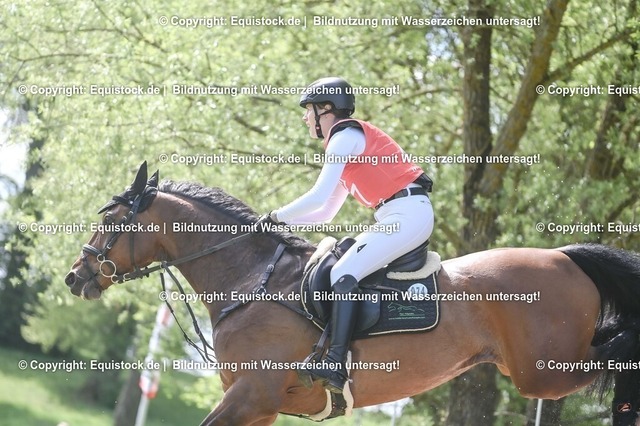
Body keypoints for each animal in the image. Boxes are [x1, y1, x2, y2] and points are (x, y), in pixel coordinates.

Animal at [65, 162, 640, 426]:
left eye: (111, 221)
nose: (75, 276)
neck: (248, 278)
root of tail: (563, 255)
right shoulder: (261, 405)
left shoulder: (250, 394)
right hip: (538, 371)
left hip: (544, 369)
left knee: (615, 354)